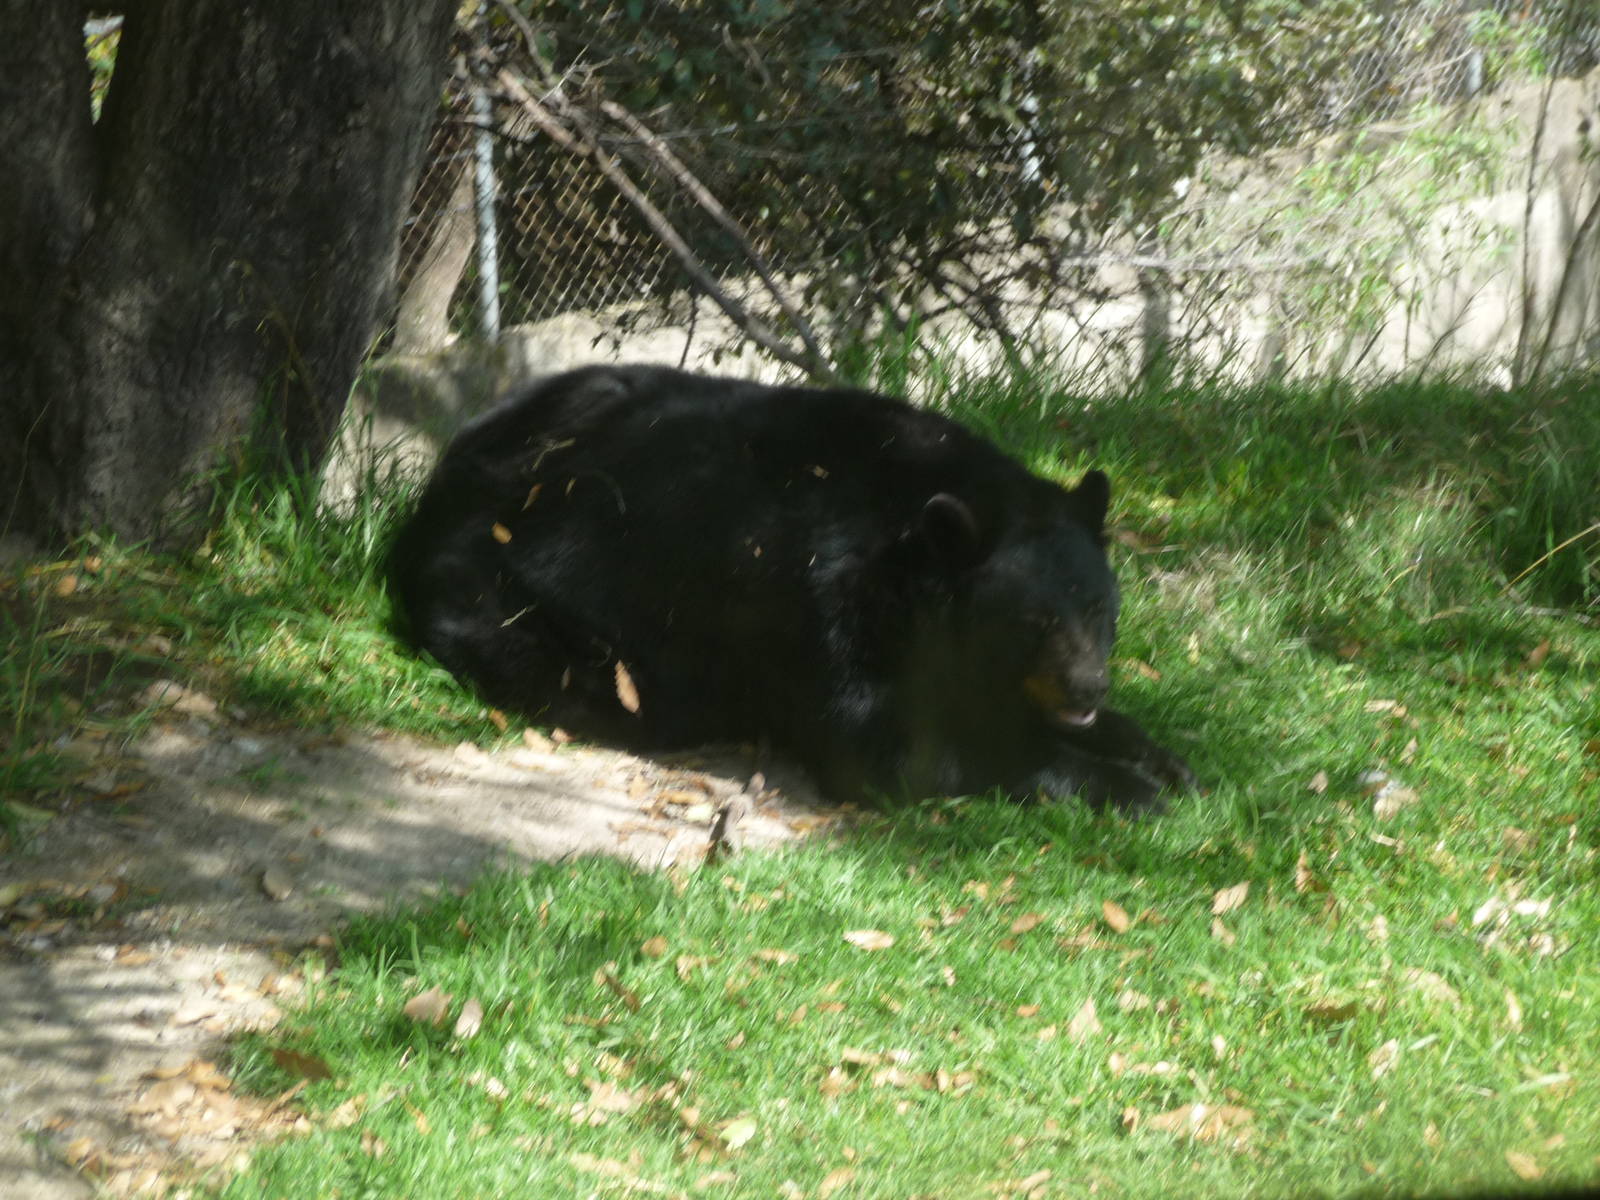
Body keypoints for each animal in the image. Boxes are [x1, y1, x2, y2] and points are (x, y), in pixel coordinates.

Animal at [387, 364, 1193, 813]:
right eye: (1031, 621)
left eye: (1097, 607)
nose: (1087, 686)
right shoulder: (823, 604)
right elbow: (892, 747)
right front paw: (1128, 786)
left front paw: (1160, 756)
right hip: (507, 595)